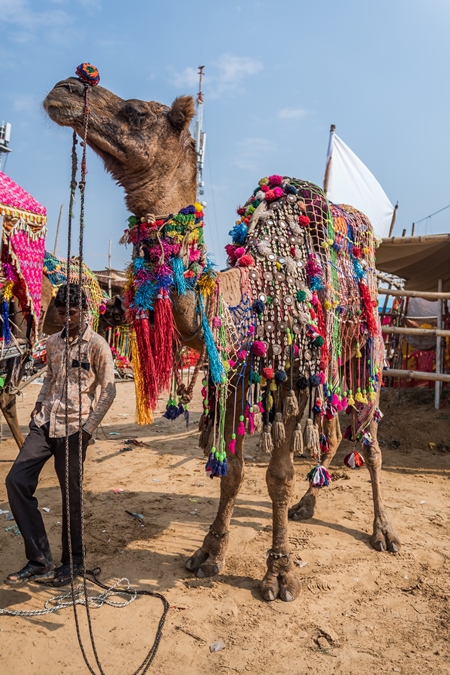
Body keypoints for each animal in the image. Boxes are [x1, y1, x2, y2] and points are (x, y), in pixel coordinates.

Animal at [44, 70, 400, 604]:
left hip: (366, 353)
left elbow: (276, 477)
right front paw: (209, 552)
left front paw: (279, 573)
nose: (65, 87)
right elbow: (231, 475)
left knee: (369, 439)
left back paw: (382, 531)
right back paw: (308, 506)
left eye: (139, 112)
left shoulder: (281, 378)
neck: (242, 299)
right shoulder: (234, 377)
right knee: (333, 430)